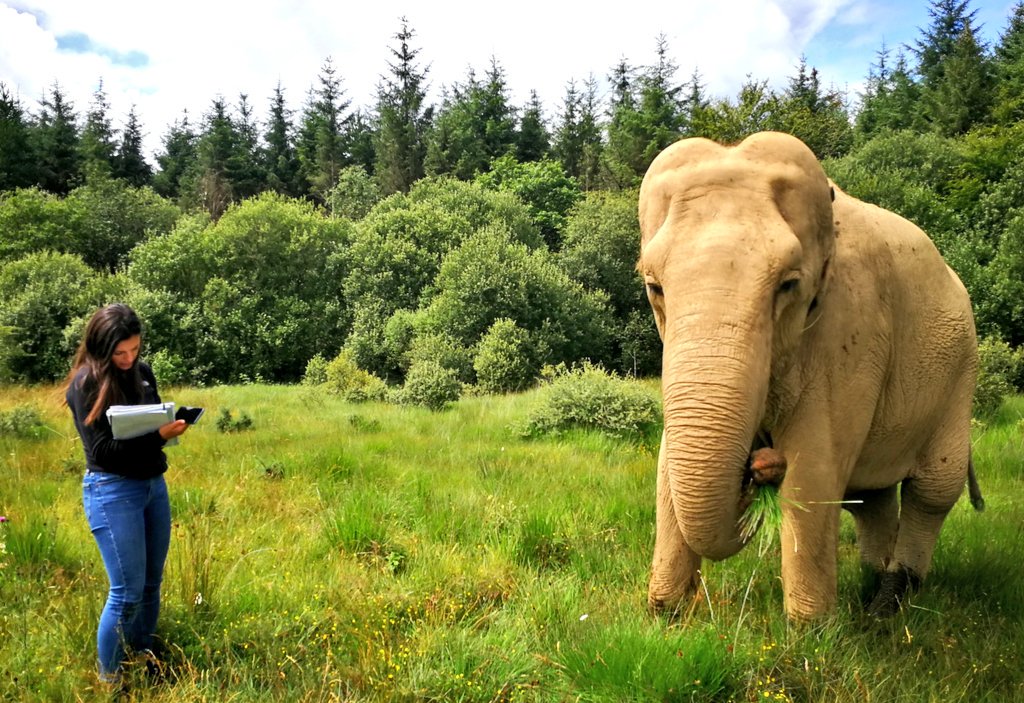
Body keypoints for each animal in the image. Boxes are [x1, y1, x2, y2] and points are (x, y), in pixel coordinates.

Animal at [638, 131, 981, 620]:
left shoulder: (855, 328)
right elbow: (668, 465)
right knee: (871, 497)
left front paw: (810, 629)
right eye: (654, 287)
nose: (760, 464)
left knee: (934, 488)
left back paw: (888, 603)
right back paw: (872, 582)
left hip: (961, 370)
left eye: (789, 285)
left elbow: (815, 466)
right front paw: (666, 615)